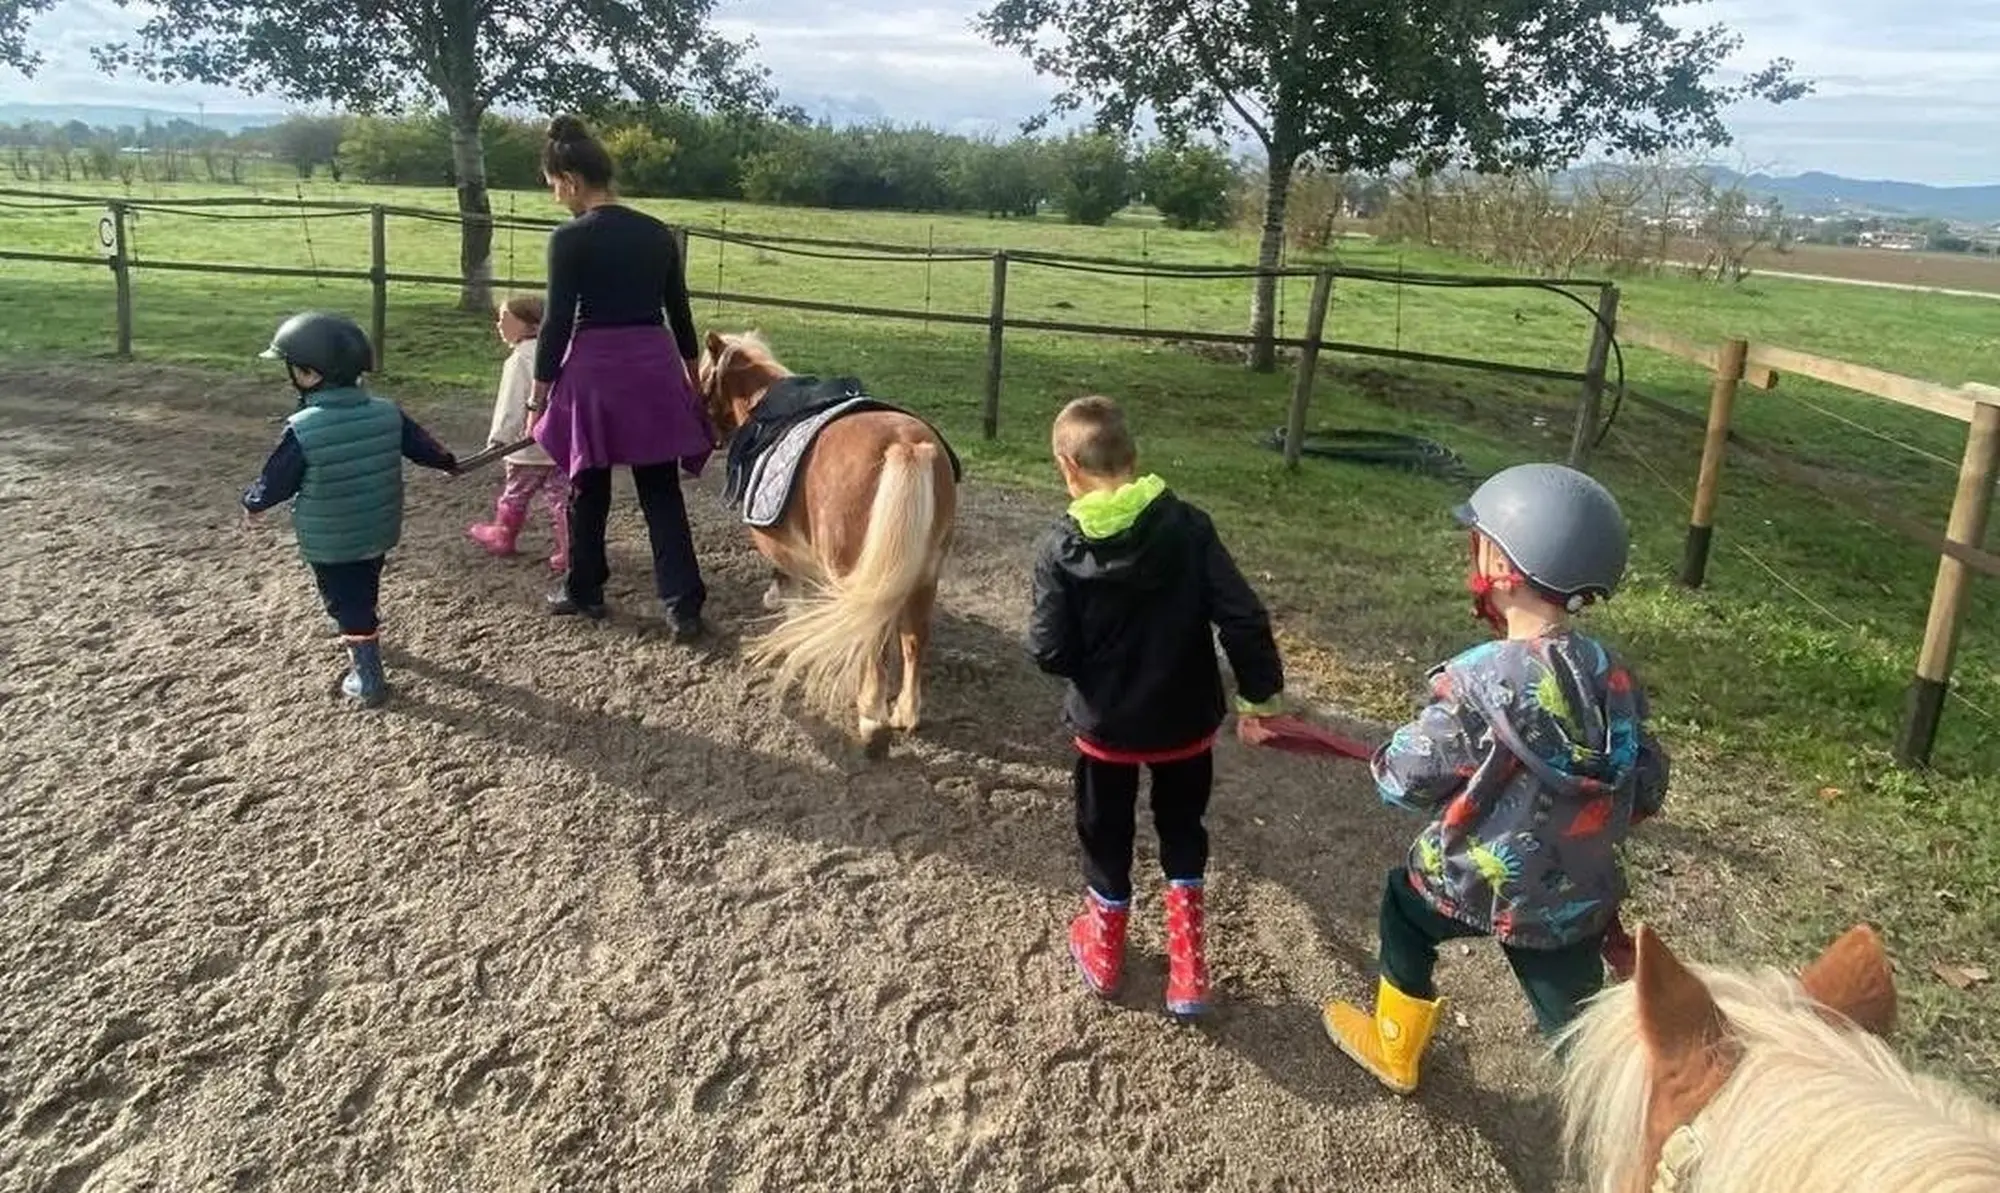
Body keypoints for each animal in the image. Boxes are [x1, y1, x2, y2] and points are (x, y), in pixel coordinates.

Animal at [700, 328, 956, 756]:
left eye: (701, 381)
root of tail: (905, 445)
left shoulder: (793, 558)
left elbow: (796, 601)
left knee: (871, 641)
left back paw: (871, 719)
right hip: (923, 575)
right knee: (914, 639)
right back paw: (905, 714)